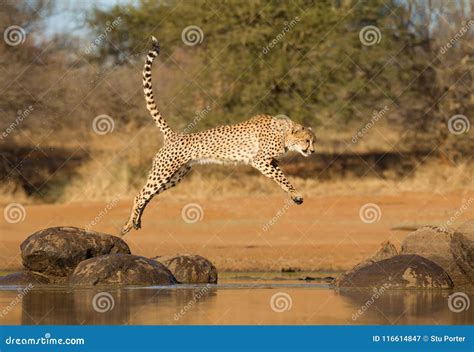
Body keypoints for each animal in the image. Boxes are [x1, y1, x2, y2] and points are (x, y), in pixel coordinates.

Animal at [120, 37, 316, 235]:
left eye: (313, 141)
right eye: (307, 141)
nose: (313, 151)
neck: (284, 135)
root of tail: (174, 135)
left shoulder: (270, 161)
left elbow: (281, 177)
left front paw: (294, 196)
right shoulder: (259, 160)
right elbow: (282, 178)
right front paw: (296, 194)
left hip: (175, 175)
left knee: (147, 196)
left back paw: (135, 223)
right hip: (163, 171)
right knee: (140, 195)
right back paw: (129, 224)